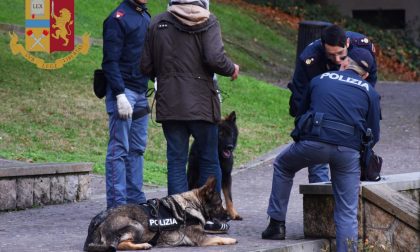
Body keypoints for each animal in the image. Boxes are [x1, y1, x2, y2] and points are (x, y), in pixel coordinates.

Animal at [83, 176, 238, 251]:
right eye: (219, 204)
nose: (229, 217)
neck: (191, 205)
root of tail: (97, 221)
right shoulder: (201, 238)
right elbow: (218, 238)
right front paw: (230, 240)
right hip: (136, 226)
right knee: (120, 245)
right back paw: (143, 245)